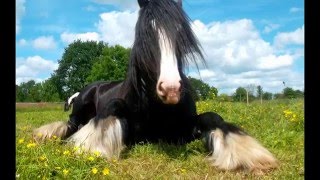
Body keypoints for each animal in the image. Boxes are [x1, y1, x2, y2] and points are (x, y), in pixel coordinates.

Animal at [33, 0, 278, 173]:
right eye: (145, 33)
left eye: (181, 31)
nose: (170, 89)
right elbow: (112, 108)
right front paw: (92, 146)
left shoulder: (184, 131)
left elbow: (213, 118)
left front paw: (246, 153)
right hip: (78, 112)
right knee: (69, 125)